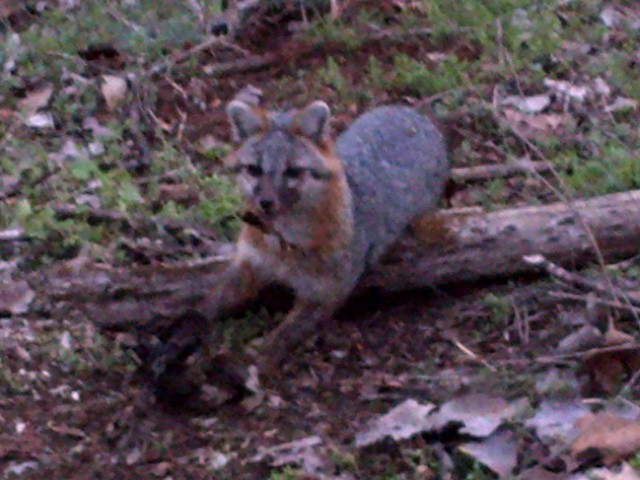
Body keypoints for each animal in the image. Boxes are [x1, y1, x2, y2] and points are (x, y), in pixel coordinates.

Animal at [149, 96, 449, 392]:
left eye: (292, 171)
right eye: (254, 170)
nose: (266, 203)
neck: (282, 245)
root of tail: (412, 114)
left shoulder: (326, 293)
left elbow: (281, 336)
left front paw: (252, 365)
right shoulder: (249, 265)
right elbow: (204, 307)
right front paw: (178, 338)